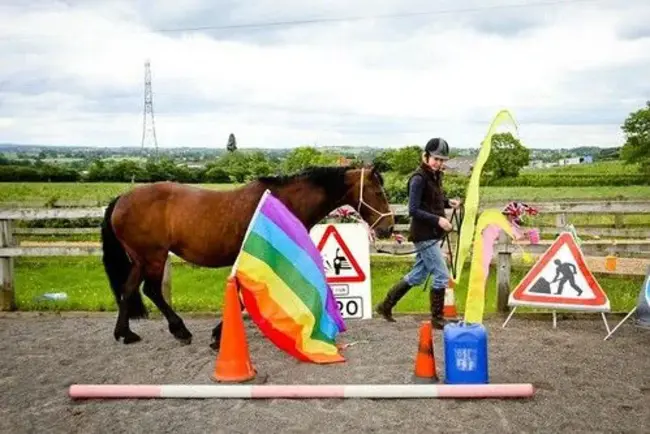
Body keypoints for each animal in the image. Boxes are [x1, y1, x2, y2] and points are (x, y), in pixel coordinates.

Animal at [100, 164, 392, 350]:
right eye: (379, 192)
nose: (388, 228)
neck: (281, 203)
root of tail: (122, 198)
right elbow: (243, 294)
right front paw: (218, 336)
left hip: (140, 259)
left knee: (128, 289)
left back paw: (125, 334)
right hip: (153, 257)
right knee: (151, 290)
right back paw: (179, 330)